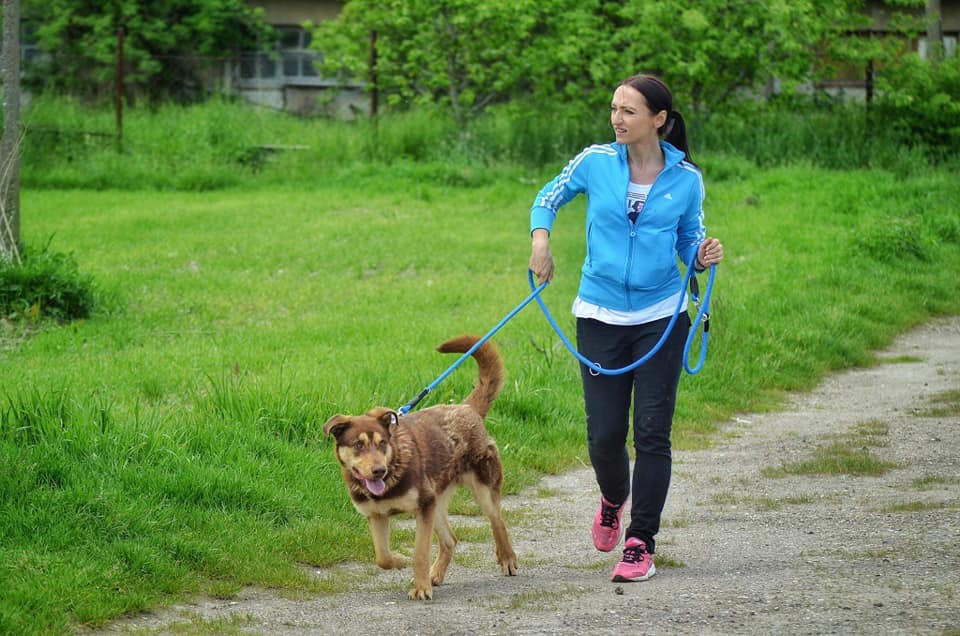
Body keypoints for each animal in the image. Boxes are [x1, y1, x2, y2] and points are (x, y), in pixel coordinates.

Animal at [322, 336, 516, 600]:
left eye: (382, 443)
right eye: (358, 445)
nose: (379, 471)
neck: (393, 468)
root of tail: (466, 408)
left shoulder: (423, 507)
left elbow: (420, 552)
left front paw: (421, 586)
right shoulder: (377, 515)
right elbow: (382, 557)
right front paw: (400, 561)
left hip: (481, 487)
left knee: (498, 522)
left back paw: (506, 558)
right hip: (438, 499)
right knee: (450, 540)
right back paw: (436, 573)